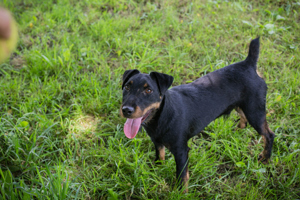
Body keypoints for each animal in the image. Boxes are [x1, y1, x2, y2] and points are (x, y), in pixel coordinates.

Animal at [120, 38, 276, 192]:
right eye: (126, 87)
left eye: (148, 90)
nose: (126, 110)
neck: (161, 117)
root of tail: (248, 63)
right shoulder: (157, 142)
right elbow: (160, 157)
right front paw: (156, 172)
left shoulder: (181, 151)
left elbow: (182, 176)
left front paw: (180, 193)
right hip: (244, 106)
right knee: (244, 118)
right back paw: (238, 130)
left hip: (255, 111)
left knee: (269, 134)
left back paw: (265, 159)